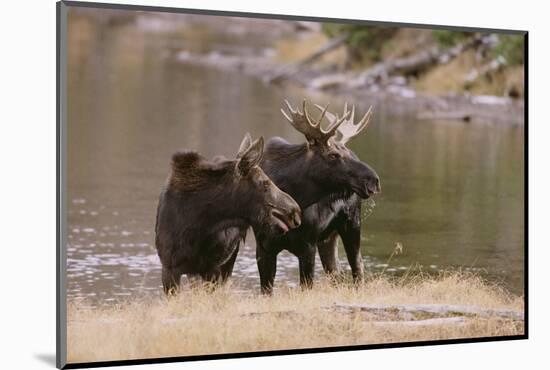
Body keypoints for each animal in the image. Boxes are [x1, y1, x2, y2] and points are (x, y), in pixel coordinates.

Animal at [256, 99, 382, 294]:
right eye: (333, 155)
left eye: (350, 154)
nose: (373, 180)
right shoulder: (263, 246)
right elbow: (266, 290)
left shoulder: (307, 245)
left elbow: (306, 286)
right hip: (328, 238)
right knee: (336, 272)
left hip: (352, 224)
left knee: (357, 266)